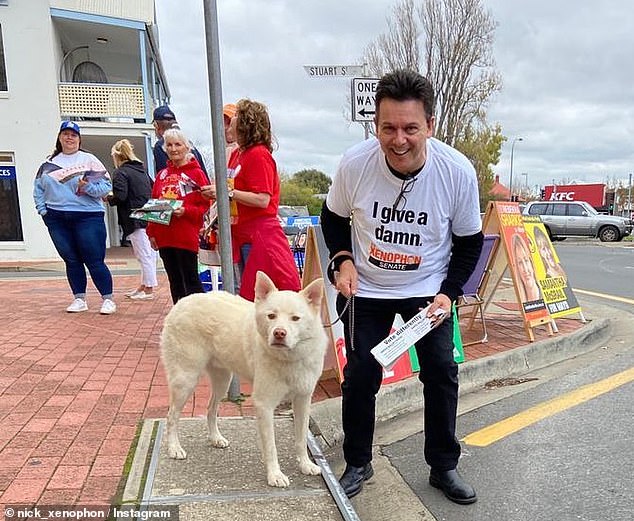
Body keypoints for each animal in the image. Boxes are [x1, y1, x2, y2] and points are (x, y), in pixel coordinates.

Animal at [160, 272, 326, 488]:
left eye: (295, 318)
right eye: (271, 316)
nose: (279, 333)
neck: (289, 358)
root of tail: (183, 301)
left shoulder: (303, 400)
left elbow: (300, 438)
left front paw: (305, 465)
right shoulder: (264, 404)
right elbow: (271, 446)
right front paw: (275, 475)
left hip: (222, 381)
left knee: (210, 410)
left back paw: (216, 438)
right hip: (185, 380)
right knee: (172, 416)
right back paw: (174, 448)